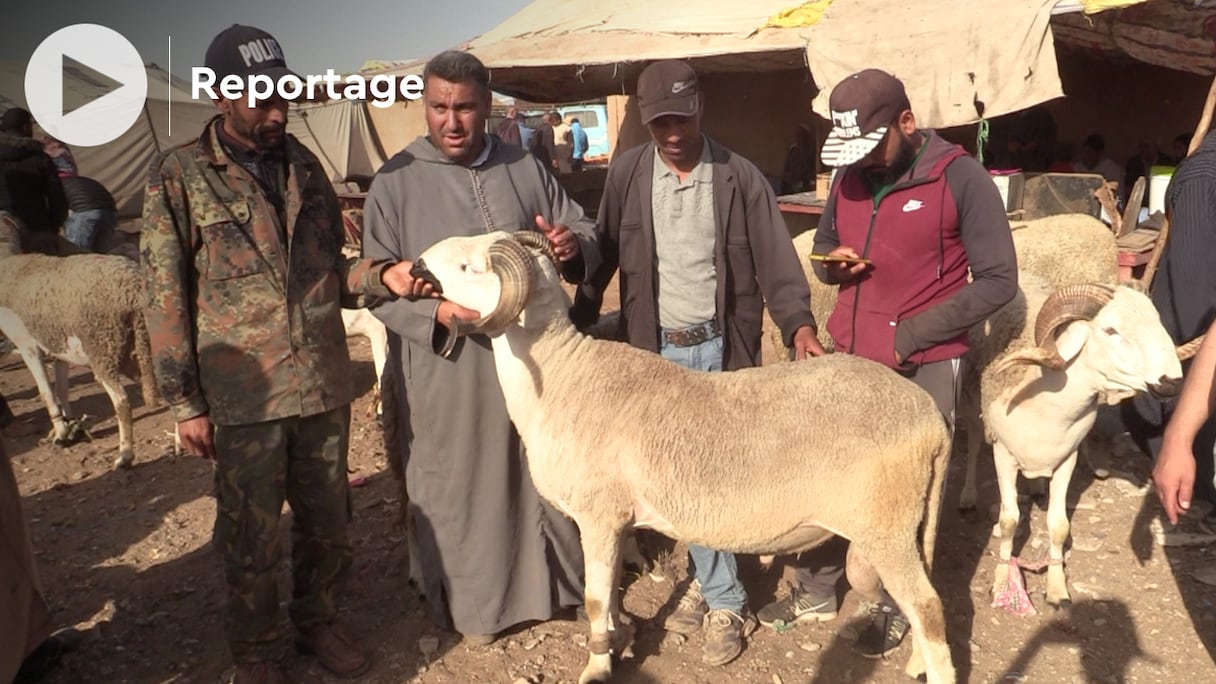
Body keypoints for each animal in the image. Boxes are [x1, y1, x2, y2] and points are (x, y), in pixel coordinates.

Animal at [0, 221, 159, 464]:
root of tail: (134, 290)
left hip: (103, 348)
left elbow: (47, 394)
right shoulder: (60, 348)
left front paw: (61, 433)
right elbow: (62, 391)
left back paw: (124, 455)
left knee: (122, 401)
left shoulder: (27, 345)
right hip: (145, 345)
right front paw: (66, 429)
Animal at [415, 230, 958, 681]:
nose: (418, 266)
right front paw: (619, 639)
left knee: (928, 608)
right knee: (925, 601)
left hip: (885, 527)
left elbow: (593, 600)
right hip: (905, 525)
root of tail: (931, 417)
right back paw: (915, 663)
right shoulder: (619, 521)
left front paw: (596, 667)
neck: (564, 376)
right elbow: (611, 595)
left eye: (468, 267)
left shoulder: (598, 514)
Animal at [958, 272, 1177, 606]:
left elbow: (1059, 527)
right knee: (971, 444)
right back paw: (968, 496)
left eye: (1157, 321)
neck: (1046, 401)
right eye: (1110, 329)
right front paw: (1002, 580)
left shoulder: (1067, 460)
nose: (1172, 381)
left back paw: (1036, 488)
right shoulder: (1003, 455)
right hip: (972, 402)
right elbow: (1009, 521)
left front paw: (1057, 587)